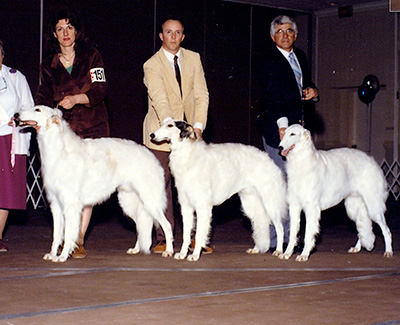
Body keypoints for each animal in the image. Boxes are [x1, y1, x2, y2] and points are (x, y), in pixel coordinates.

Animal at [14, 105, 173, 262]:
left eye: (37, 110)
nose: (16, 115)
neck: (59, 150)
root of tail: (151, 155)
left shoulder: (71, 205)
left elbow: (68, 234)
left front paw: (63, 256)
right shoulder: (56, 204)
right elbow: (56, 235)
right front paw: (53, 254)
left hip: (150, 200)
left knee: (167, 225)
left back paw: (169, 251)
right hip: (129, 202)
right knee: (141, 224)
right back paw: (136, 249)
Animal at [151, 118, 288, 260]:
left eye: (170, 125)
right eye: (162, 124)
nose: (152, 135)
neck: (187, 153)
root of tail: (269, 160)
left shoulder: (203, 206)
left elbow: (199, 234)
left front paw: (195, 255)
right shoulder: (186, 206)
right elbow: (186, 235)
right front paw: (182, 253)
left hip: (270, 203)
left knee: (280, 228)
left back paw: (279, 251)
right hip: (251, 202)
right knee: (260, 222)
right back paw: (256, 249)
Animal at [276, 123, 392, 260]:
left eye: (292, 134)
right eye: (284, 133)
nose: (279, 147)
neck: (302, 161)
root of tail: (373, 162)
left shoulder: (311, 207)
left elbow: (308, 234)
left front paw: (304, 255)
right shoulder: (295, 206)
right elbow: (293, 233)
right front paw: (286, 253)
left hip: (374, 206)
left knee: (386, 230)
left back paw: (388, 251)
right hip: (354, 207)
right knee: (362, 229)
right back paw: (357, 248)